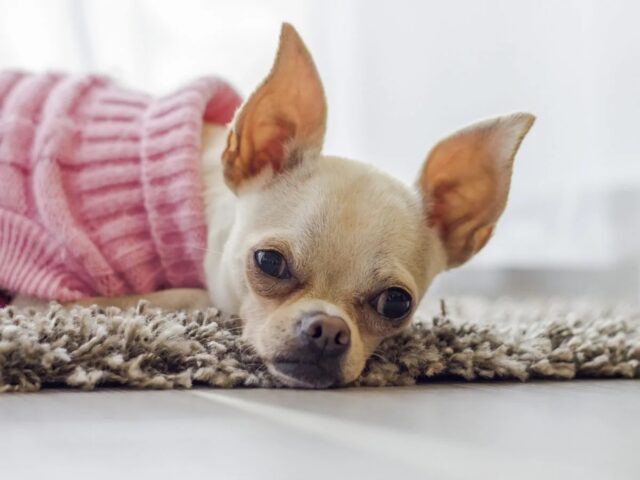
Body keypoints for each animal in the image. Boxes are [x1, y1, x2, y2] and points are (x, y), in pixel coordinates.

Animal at [3, 24, 536, 388]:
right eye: (269, 263)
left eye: (396, 302)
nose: (327, 328)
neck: (201, 212)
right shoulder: (46, 298)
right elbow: (194, 297)